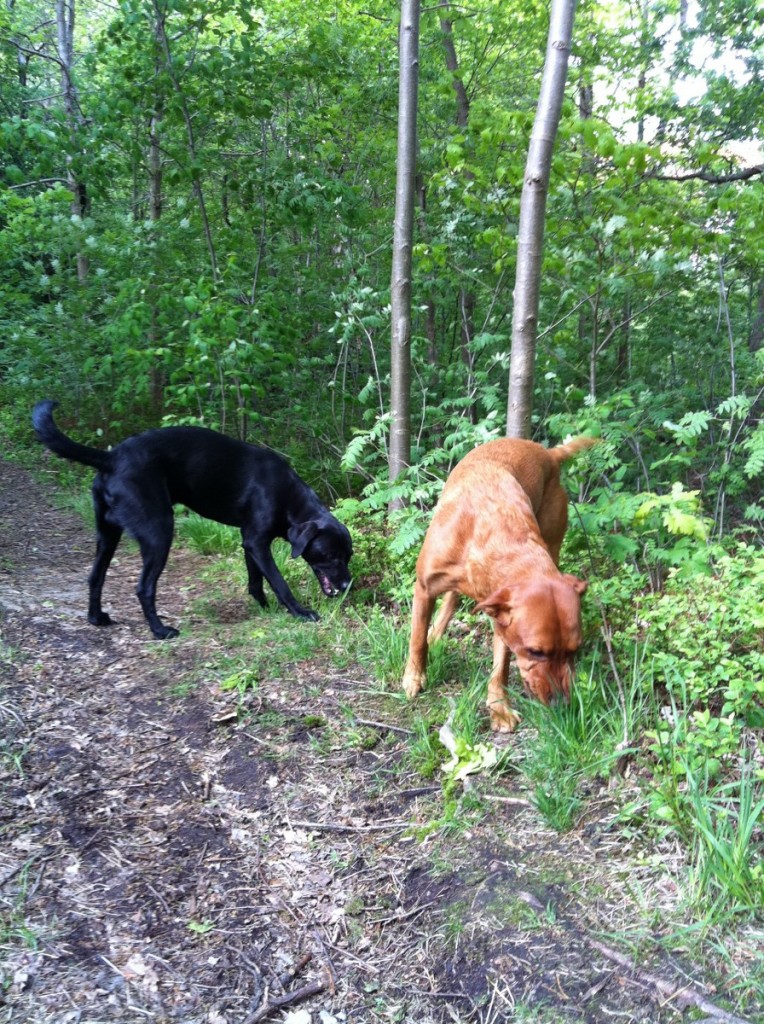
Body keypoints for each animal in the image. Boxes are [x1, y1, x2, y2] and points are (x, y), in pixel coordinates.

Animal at [30, 403, 350, 634]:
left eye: (348, 556)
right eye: (330, 555)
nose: (347, 584)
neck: (287, 496)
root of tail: (111, 458)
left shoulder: (250, 541)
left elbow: (256, 581)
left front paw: (264, 607)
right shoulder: (258, 542)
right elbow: (279, 582)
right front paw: (300, 612)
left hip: (108, 534)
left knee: (95, 576)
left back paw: (96, 618)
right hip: (159, 532)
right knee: (144, 587)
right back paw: (160, 631)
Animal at [401, 436, 593, 733]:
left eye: (575, 650)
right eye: (536, 651)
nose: (563, 705)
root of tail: (548, 453)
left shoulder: (501, 617)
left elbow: (500, 667)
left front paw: (499, 707)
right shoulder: (423, 587)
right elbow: (417, 640)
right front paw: (414, 677)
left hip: (553, 539)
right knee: (447, 604)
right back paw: (434, 635)